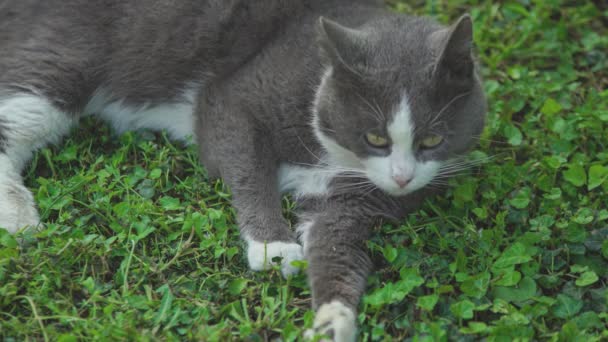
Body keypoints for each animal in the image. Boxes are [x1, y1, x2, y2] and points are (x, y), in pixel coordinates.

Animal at [0, 0, 484, 340]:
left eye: (432, 141)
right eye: (375, 138)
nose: (403, 177)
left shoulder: (358, 197)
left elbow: (338, 244)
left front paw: (334, 320)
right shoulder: (233, 95)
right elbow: (245, 159)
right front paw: (273, 246)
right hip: (71, 50)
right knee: (19, 116)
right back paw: (19, 217)